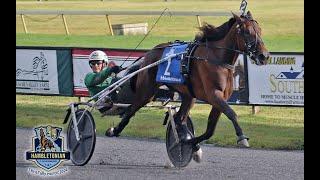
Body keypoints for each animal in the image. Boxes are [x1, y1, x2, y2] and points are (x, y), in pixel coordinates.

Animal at [106, 10, 268, 156]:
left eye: (260, 30)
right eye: (247, 32)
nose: (264, 56)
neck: (217, 58)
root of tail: (148, 54)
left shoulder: (220, 99)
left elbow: (210, 129)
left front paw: (190, 142)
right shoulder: (214, 95)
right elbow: (232, 113)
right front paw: (242, 137)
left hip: (188, 96)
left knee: (179, 118)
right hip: (147, 92)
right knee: (131, 109)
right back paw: (114, 130)